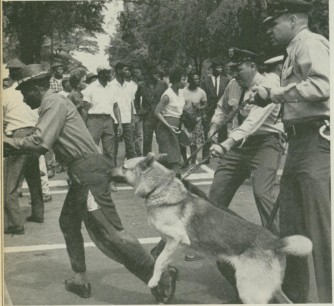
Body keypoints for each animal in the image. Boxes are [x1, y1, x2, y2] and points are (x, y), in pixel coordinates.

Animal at [113, 153, 314, 304]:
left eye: (123, 166)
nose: (108, 170)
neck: (158, 188)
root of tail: (275, 241)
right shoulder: (170, 242)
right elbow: (162, 258)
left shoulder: (177, 237)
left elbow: (159, 260)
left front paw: (154, 280)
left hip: (249, 290)